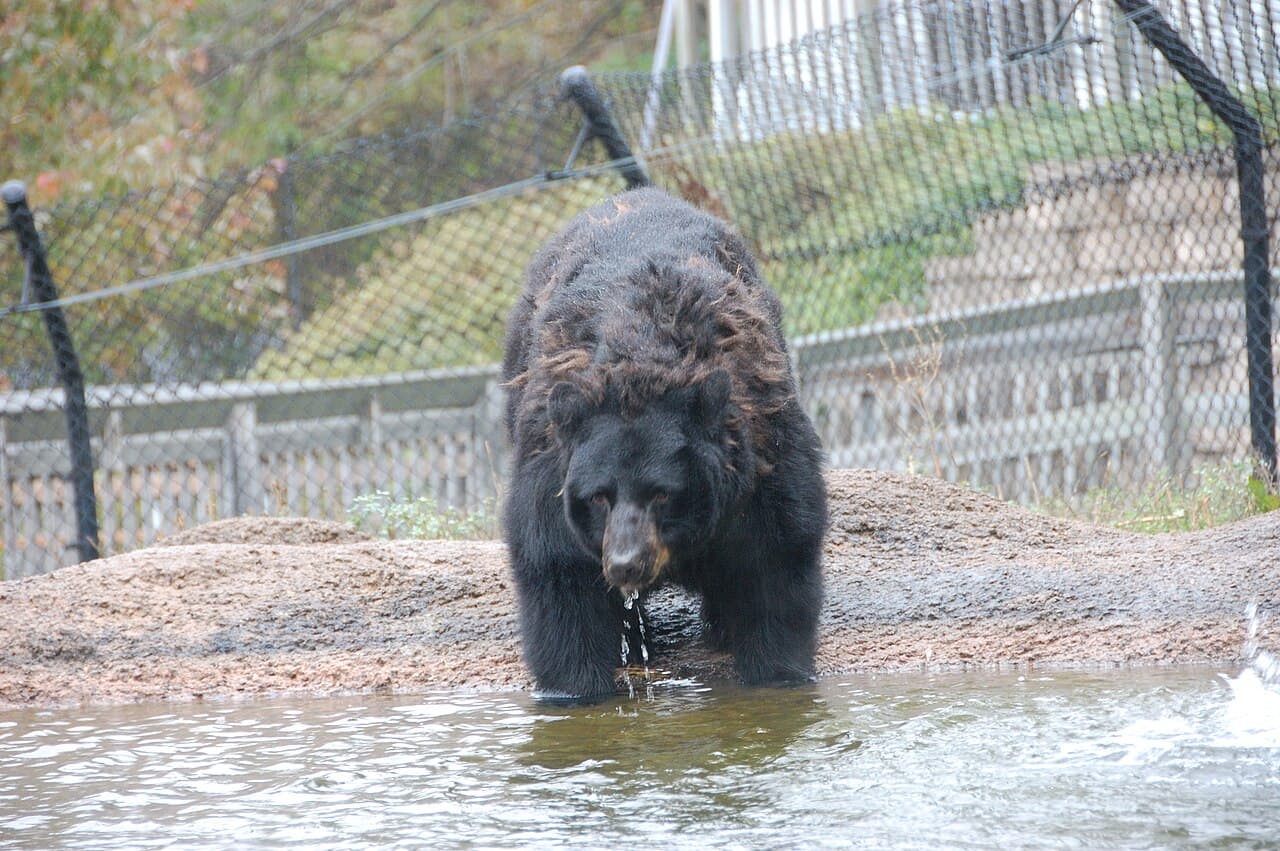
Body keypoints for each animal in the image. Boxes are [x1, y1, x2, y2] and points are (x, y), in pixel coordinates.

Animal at [502, 186, 826, 702]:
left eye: (662, 493)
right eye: (598, 496)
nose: (625, 564)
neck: (640, 359)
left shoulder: (762, 456)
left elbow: (773, 564)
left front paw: (776, 672)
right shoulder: (549, 467)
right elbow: (560, 582)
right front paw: (576, 689)